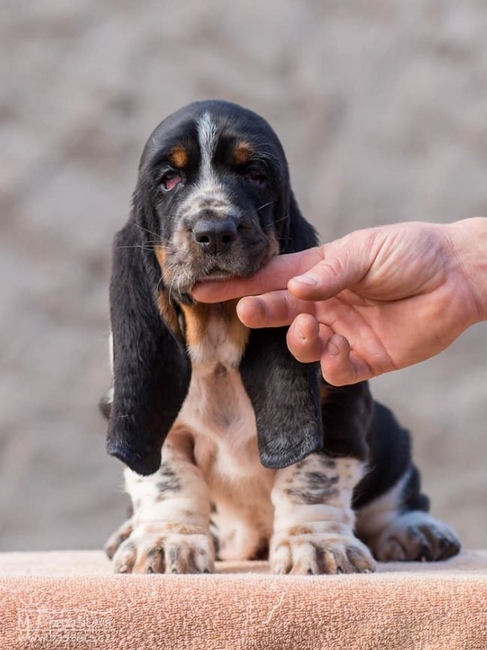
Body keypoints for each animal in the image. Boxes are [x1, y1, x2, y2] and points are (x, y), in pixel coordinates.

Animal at [101, 100, 460, 574]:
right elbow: (169, 480)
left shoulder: (335, 406)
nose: (214, 230)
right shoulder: (159, 426)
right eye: (169, 179)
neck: (219, 338)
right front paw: (165, 542)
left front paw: (319, 545)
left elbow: (311, 477)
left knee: (396, 494)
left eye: (256, 174)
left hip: (391, 435)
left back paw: (417, 530)